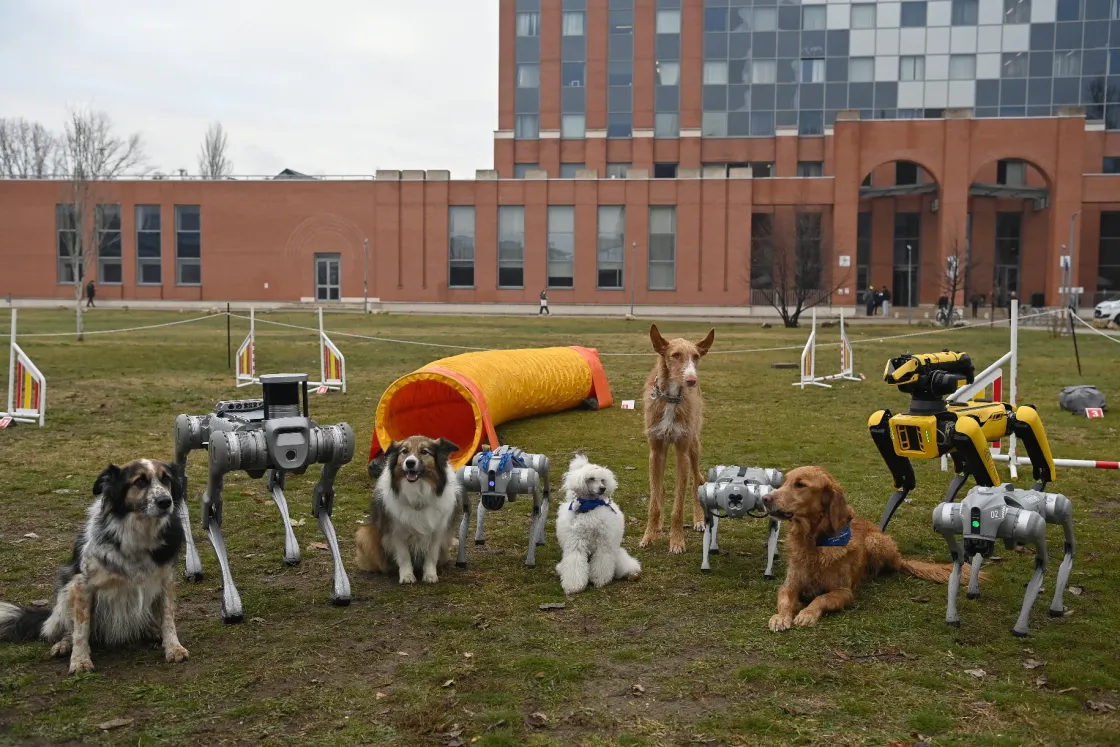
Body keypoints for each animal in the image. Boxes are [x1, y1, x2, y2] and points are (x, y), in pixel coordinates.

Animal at [0, 459, 190, 676]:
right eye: (140, 481)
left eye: (166, 479)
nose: (166, 501)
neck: (140, 533)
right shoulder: (82, 585)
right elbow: (81, 629)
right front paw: (80, 660)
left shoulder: (165, 580)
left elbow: (168, 618)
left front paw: (174, 647)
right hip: (66, 588)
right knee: (69, 628)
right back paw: (64, 644)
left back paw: (151, 630)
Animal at [645, 324, 712, 553]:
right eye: (675, 355)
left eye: (696, 356)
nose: (692, 380)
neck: (670, 398)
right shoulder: (656, 450)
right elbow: (655, 501)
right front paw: (649, 535)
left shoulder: (682, 451)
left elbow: (678, 507)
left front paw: (676, 541)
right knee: (661, 490)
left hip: (694, 446)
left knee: (698, 480)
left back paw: (699, 520)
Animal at [864, 351, 1057, 530]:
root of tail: (1008, 407)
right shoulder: (880, 425)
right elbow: (905, 482)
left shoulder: (966, 428)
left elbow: (988, 484)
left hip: (1017, 418)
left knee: (1027, 416)